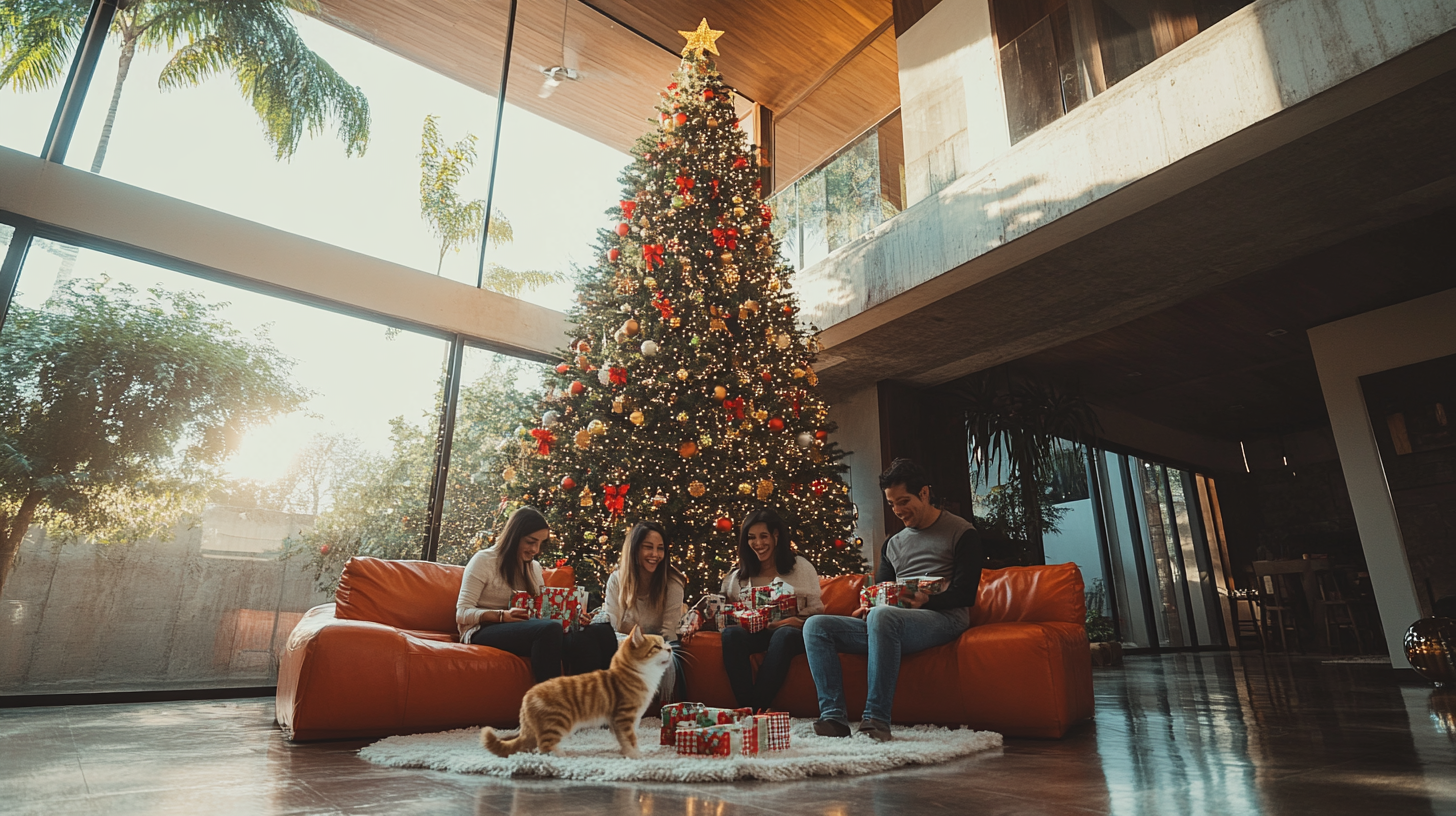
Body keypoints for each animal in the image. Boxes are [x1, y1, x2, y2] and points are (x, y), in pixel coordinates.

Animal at [486, 623, 672, 757]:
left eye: (665, 644)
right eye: (657, 647)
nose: (670, 649)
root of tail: (527, 697)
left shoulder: (621, 721)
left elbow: (623, 740)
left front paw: (626, 753)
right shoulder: (624, 717)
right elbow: (630, 739)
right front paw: (636, 756)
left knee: (531, 744)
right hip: (559, 721)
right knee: (544, 745)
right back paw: (560, 755)